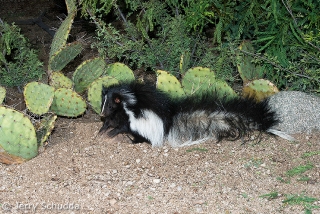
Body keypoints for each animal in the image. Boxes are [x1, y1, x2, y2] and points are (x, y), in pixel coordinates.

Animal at [99, 81, 294, 146]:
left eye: (110, 106)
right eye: (103, 104)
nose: (101, 114)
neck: (123, 105)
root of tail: (168, 122)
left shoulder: (130, 118)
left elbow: (123, 126)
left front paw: (111, 132)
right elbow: (111, 123)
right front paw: (103, 129)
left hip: (145, 129)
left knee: (143, 137)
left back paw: (133, 141)